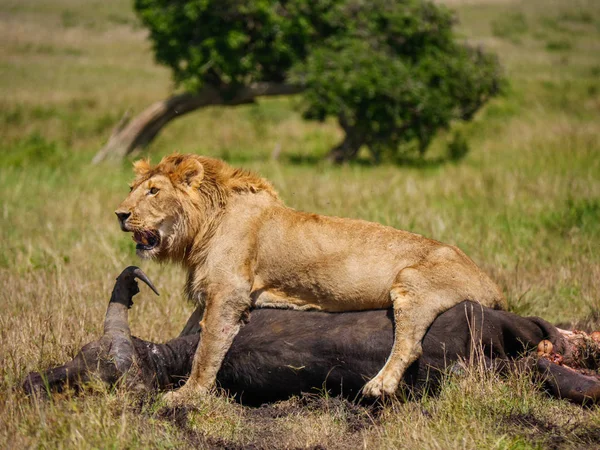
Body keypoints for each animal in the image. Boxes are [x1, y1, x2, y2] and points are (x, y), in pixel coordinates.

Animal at [113, 155, 506, 400]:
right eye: (132, 188)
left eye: (154, 191)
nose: (119, 213)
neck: (202, 225)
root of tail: (491, 285)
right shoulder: (214, 293)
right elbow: (195, 332)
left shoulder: (229, 292)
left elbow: (207, 349)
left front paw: (187, 394)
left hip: (411, 279)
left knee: (411, 345)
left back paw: (379, 386)